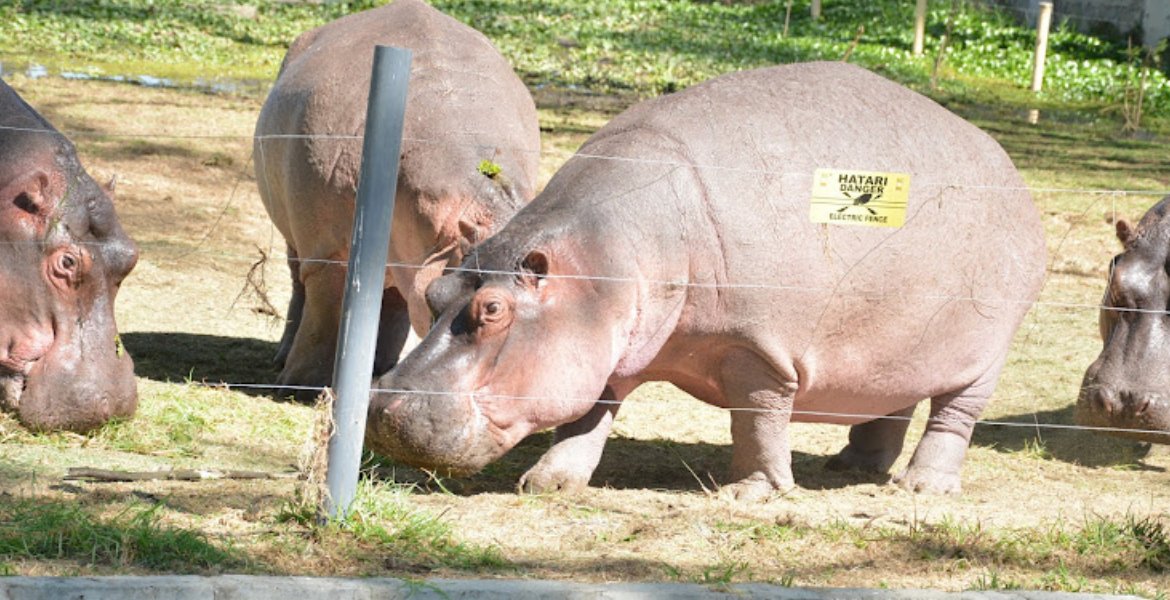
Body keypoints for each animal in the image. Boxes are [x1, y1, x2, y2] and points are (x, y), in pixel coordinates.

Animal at [254, 0, 540, 401]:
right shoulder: (327, 254)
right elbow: (324, 317)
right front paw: (301, 387)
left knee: (392, 302)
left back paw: (376, 368)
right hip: (296, 237)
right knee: (300, 286)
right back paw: (285, 362)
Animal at [366, 62, 1047, 499]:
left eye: (493, 312)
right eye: (434, 293)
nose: (382, 407)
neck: (604, 256)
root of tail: (1009, 168)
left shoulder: (757, 350)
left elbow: (757, 419)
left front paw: (752, 493)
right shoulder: (609, 345)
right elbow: (589, 415)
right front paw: (549, 483)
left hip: (984, 358)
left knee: (952, 418)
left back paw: (924, 488)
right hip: (897, 342)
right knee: (891, 403)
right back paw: (848, 468)